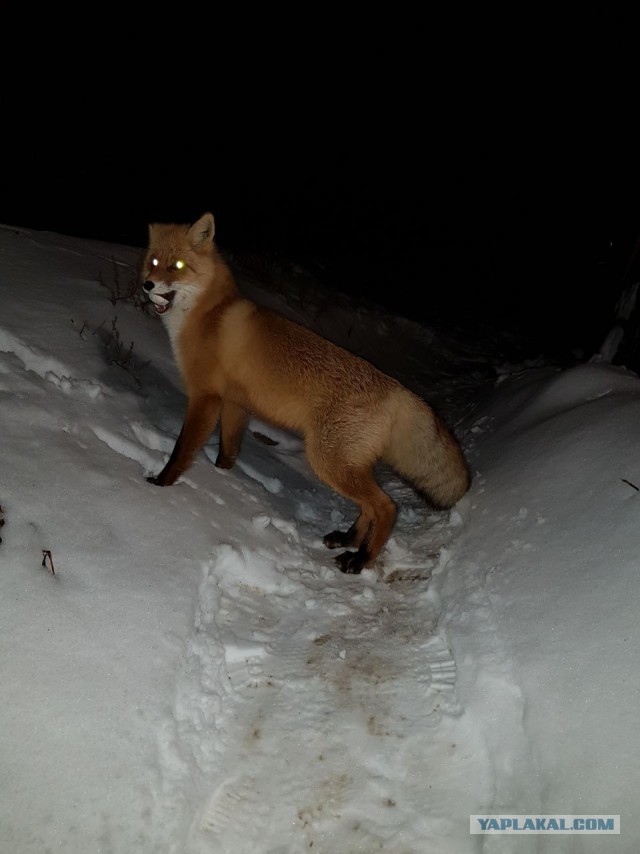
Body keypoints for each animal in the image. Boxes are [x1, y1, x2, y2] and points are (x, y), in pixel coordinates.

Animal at [141, 212, 470, 576]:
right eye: (153, 262)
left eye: (177, 266)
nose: (147, 285)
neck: (210, 312)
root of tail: (397, 388)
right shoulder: (235, 405)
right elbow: (228, 452)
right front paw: (221, 478)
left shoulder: (206, 396)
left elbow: (181, 451)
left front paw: (161, 485)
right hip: (345, 464)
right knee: (369, 507)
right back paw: (349, 539)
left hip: (328, 461)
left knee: (386, 506)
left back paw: (361, 559)